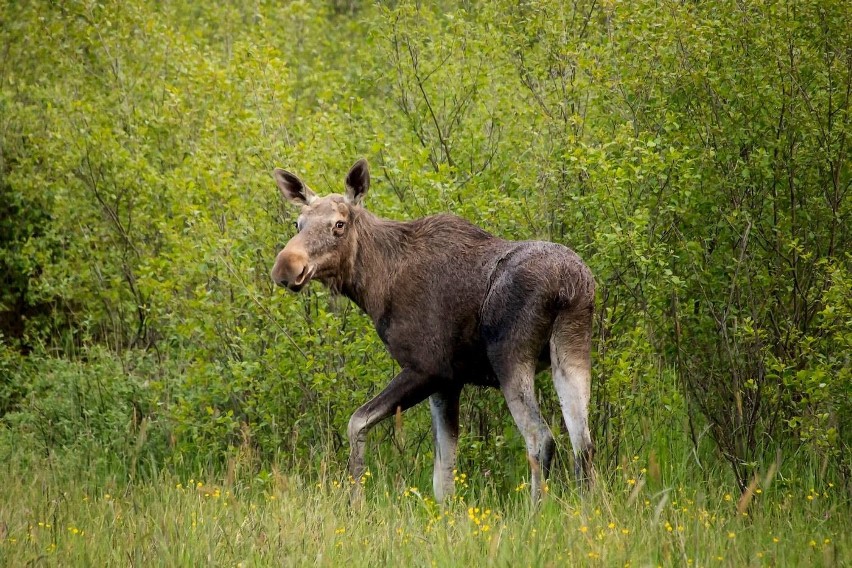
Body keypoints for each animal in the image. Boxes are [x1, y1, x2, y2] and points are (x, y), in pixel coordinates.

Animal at [270, 159, 596, 502]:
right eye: (298, 224)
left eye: (339, 224)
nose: (286, 267)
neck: (374, 286)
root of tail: (568, 285)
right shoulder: (449, 383)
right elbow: (444, 476)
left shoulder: (430, 369)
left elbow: (357, 422)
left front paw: (355, 500)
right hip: (572, 348)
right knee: (583, 443)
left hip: (510, 356)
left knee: (540, 438)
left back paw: (535, 510)